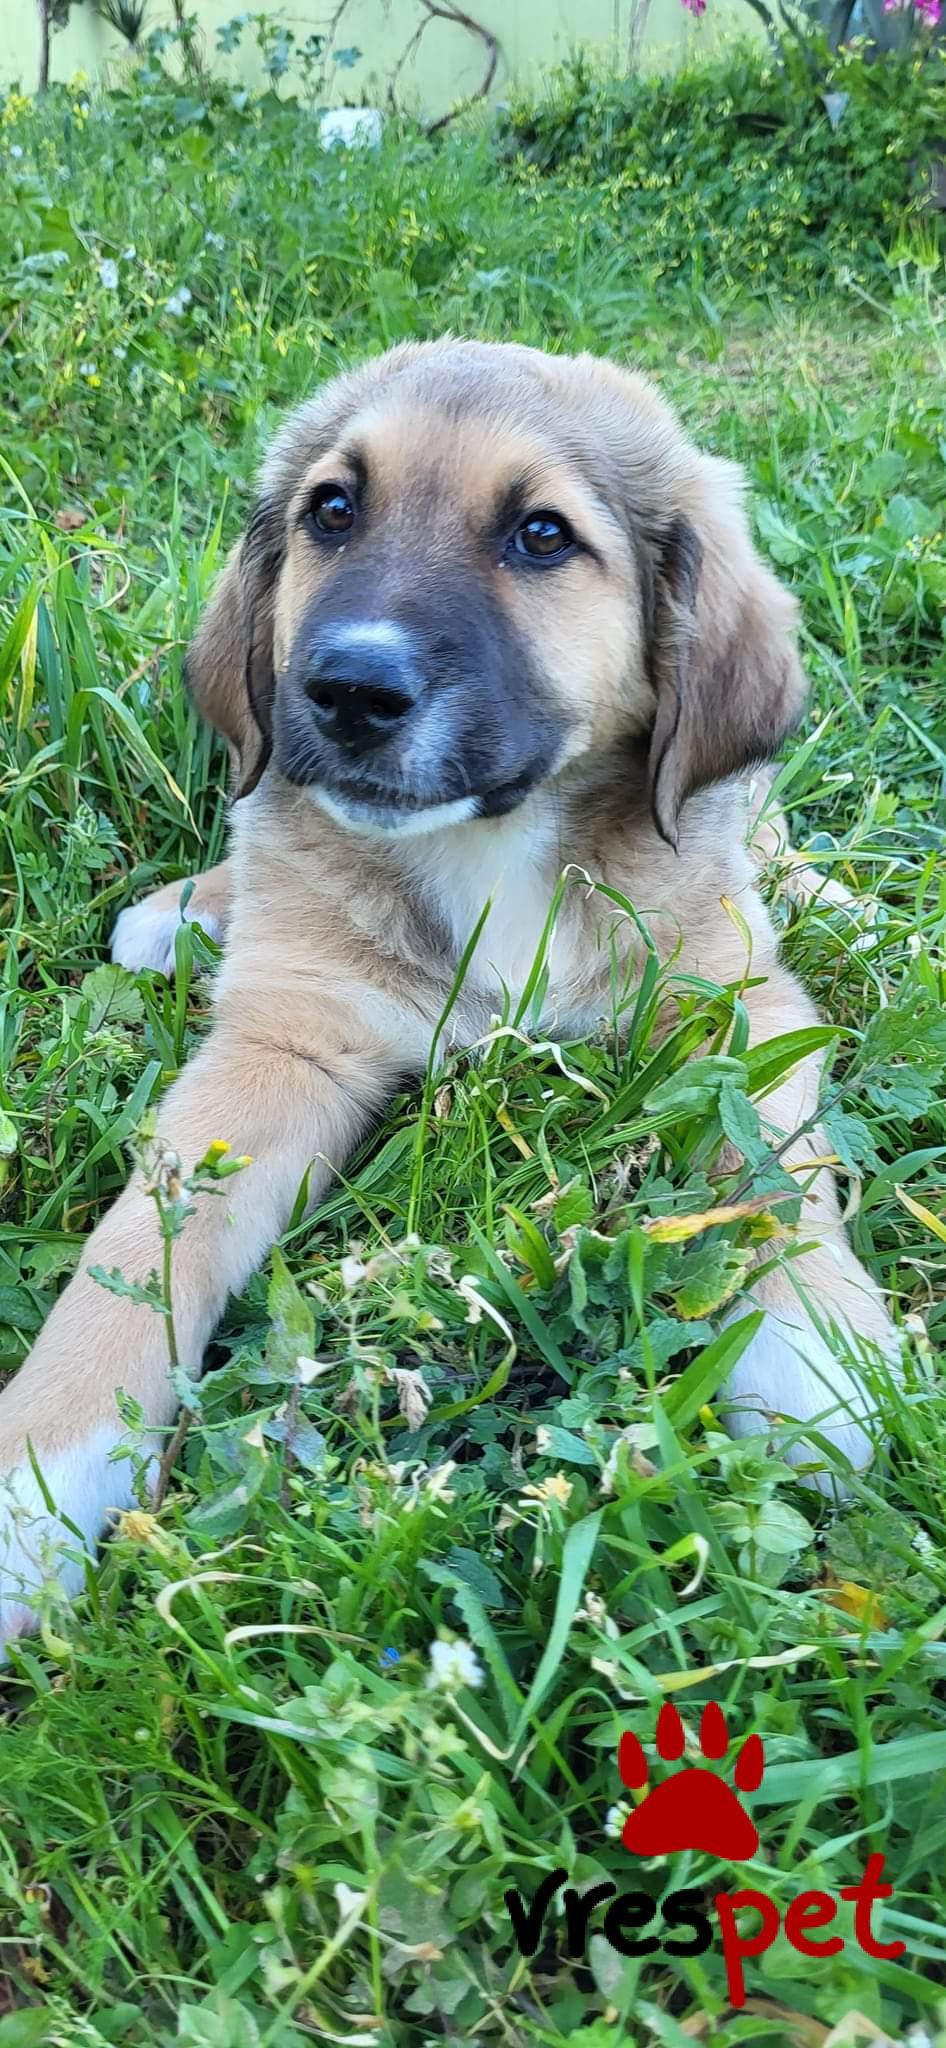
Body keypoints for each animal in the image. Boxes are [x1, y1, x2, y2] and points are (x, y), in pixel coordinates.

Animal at [0, 339, 897, 1648]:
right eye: (332, 510)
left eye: (541, 535)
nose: (346, 689)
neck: (491, 845)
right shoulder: (282, 1046)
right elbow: (139, 1251)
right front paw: (37, 1475)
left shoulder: (736, 1007)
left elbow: (775, 1167)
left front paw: (809, 1346)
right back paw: (187, 907)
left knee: (768, 839)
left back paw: (842, 899)